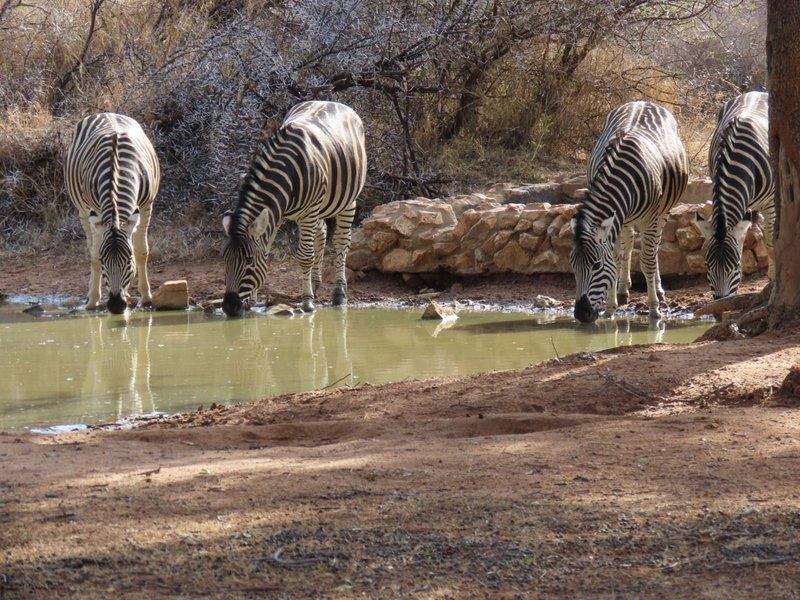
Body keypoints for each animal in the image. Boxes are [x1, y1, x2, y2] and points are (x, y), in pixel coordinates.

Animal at [65, 112, 161, 314]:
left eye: (128, 260)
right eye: (104, 261)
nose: (116, 306)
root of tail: (105, 113)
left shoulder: (146, 206)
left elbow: (142, 250)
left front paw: (146, 297)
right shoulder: (95, 210)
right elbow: (94, 255)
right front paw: (95, 298)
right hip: (82, 211)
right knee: (90, 247)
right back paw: (91, 296)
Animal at [220, 101, 368, 316]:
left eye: (249, 261)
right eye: (224, 260)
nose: (229, 307)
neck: (287, 173)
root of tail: (332, 102)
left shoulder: (307, 212)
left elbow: (305, 256)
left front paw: (307, 302)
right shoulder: (277, 214)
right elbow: (266, 249)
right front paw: (252, 300)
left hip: (347, 200)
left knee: (342, 242)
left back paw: (339, 294)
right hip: (318, 207)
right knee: (322, 232)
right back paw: (315, 283)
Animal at [568, 102, 688, 324]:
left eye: (596, 265)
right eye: (572, 265)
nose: (581, 314)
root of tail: (642, 101)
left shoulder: (650, 219)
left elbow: (647, 261)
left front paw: (654, 309)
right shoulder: (617, 218)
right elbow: (616, 258)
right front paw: (610, 307)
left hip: (663, 212)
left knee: (654, 248)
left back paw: (658, 290)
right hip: (626, 220)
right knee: (629, 243)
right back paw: (623, 290)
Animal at [696, 91, 772, 298]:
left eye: (736, 267)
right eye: (707, 266)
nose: (720, 303)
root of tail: (754, 92)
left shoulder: (771, 201)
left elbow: (771, 239)